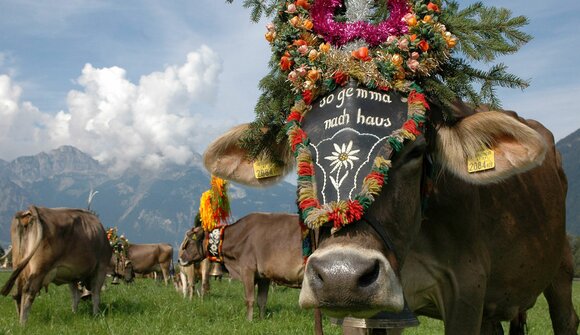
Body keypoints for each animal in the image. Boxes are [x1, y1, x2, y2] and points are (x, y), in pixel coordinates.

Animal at [203, 107, 576, 334]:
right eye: (301, 153)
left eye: (416, 151)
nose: (340, 276)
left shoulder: (466, 288)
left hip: (560, 267)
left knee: (566, 317)